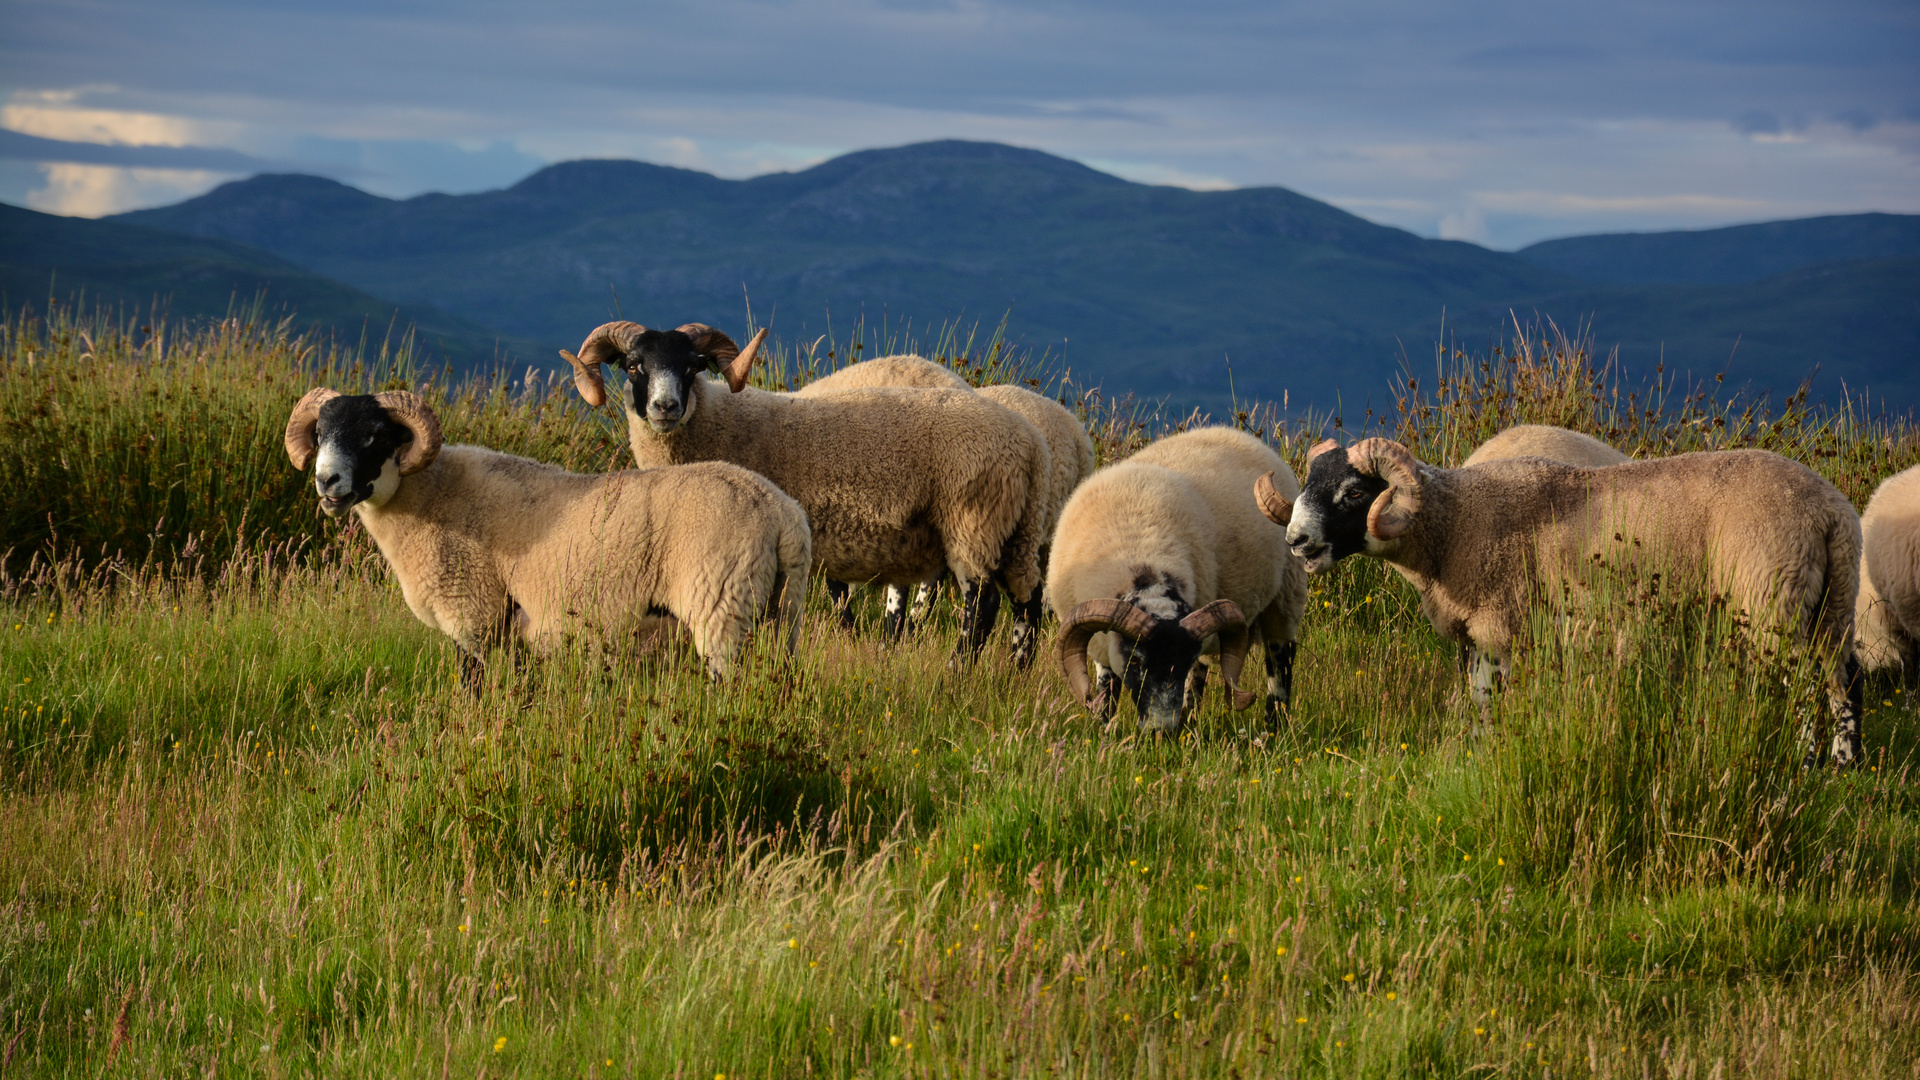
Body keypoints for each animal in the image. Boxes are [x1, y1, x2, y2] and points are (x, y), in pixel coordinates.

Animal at [280, 388, 806, 680]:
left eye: (374, 435)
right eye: (321, 433)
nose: (326, 481)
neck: (430, 497)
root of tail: (780, 514)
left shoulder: (476, 622)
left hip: (721, 609)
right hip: (781, 616)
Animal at [560, 319, 1052, 657]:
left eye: (692, 366)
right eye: (633, 366)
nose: (665, 406)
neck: (719, 426)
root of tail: (1030, 443)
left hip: (973, 523)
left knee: (982, 606)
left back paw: (956, 671)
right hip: (1016, 530)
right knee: (1028, 603)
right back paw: (1017, 671)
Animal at [1044, 422, 1313, 730]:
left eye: (1181, 661)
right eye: (1135, 662)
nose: (1161, 729)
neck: (1141, 556)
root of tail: (1240, 435)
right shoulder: (1099, 642)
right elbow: (1106, 692)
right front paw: (1104, 730)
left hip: (1285, 597)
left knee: (1280, 662)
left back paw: (1272, 728)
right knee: (1203, 675)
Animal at [1251, 438, 1866, 764]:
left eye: (1354, 492)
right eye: (1307, 484)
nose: (1297, 541)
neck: (1456, 522)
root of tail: (1832, 511)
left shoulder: (1504, 626)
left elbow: (1492, 700)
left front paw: (1491, 754)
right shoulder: (1478, 634)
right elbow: (1475, 699)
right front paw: (1478, 753)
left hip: (1772, 597)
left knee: (1802, 683)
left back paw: (1808, 759)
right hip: (1830, 604)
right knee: (1844, 677)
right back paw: (1844, 762)